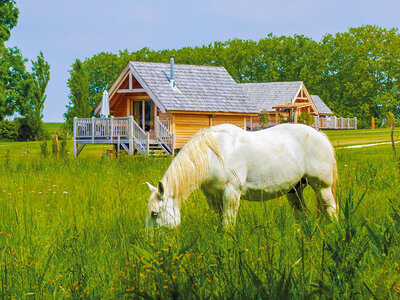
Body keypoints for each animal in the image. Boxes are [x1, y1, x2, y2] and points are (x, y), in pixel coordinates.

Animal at [145, 123, 336, 229]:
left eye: (154, 214)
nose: (152, 245)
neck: (213, 155)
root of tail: (321, 136)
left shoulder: (231, 193)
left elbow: (228, 224)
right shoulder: (213, 197)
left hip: (322, 187)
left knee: (331, 211)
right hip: (294, 190)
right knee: (302, 215)